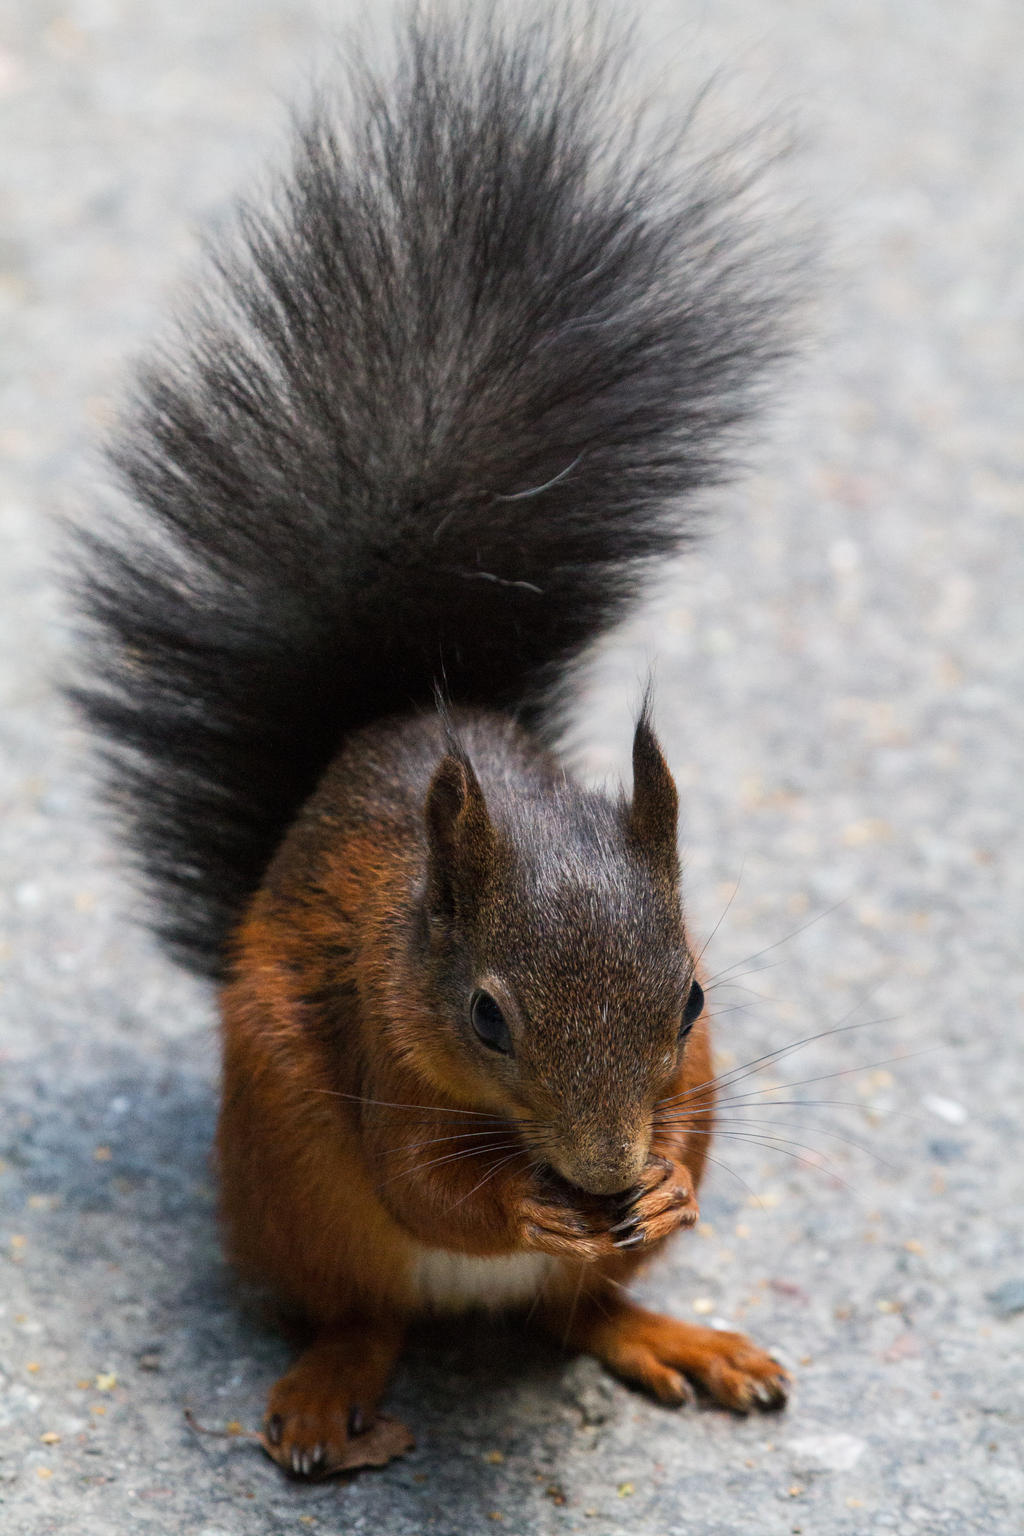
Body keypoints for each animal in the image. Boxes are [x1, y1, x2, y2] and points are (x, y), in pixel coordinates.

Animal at [75, 6, 798, 1480]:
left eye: (694, 999)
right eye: (485, 1016)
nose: (604, 1176)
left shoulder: (694, 1068)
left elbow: (686, 1124)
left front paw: (665, 1187)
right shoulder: (372, 1036)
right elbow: (428, 1187)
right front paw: (525, 1203)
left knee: (576, 1318)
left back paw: (676, 1335)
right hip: (291, 1173)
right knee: (369, 1311)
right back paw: (326, 1399)